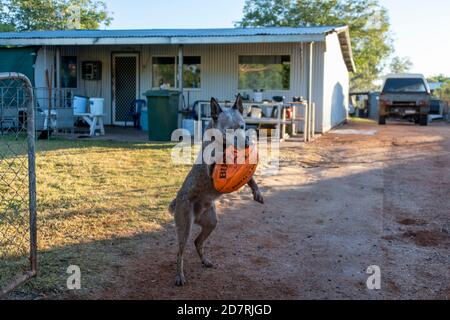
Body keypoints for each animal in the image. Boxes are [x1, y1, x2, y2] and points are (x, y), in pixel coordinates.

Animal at [171, 94, 266, 284]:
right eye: (229, 130)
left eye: (243, 126)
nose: (246, 144)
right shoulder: (210, 166)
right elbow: (215, 160)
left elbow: (251, 179)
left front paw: (257, 192)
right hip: (185, 227)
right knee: (180, 253)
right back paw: (180, 276)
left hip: (211, 222)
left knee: (198, 242)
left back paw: (205, 261)